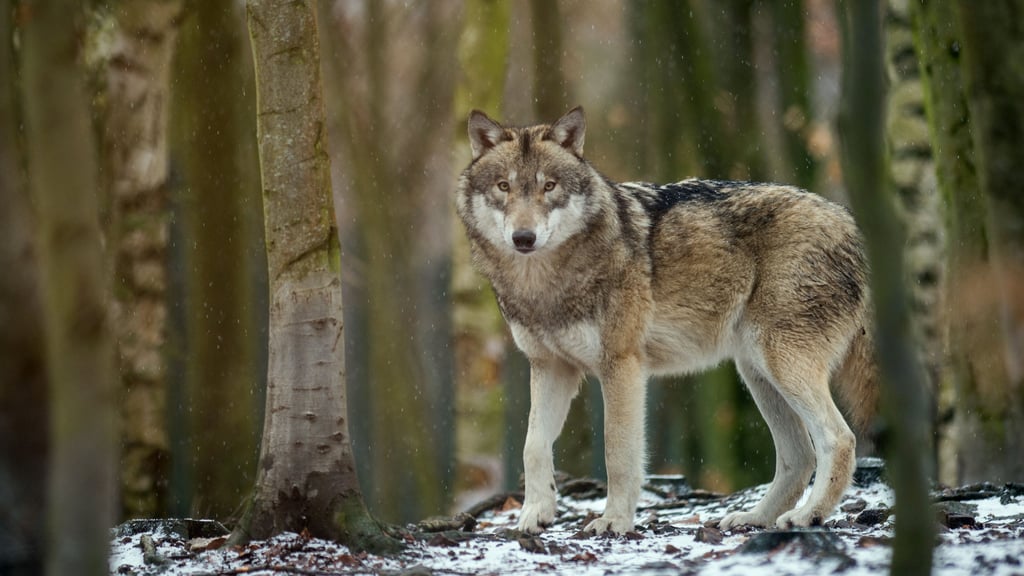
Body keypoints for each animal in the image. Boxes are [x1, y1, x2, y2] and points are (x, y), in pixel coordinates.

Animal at [456, 106, 878, 535]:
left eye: (550, 186)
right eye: (504, 187)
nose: (523, 238)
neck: (544, 285)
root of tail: (850, 223)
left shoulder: (621, 366)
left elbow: (617, 451)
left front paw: (614, 521)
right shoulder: (550, 367)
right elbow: (534, 446)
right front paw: (533, 514)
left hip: (779, 363)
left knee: (839, 439)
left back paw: (809, 515)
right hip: (757, 372)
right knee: (800, 456)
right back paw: (756, 518)